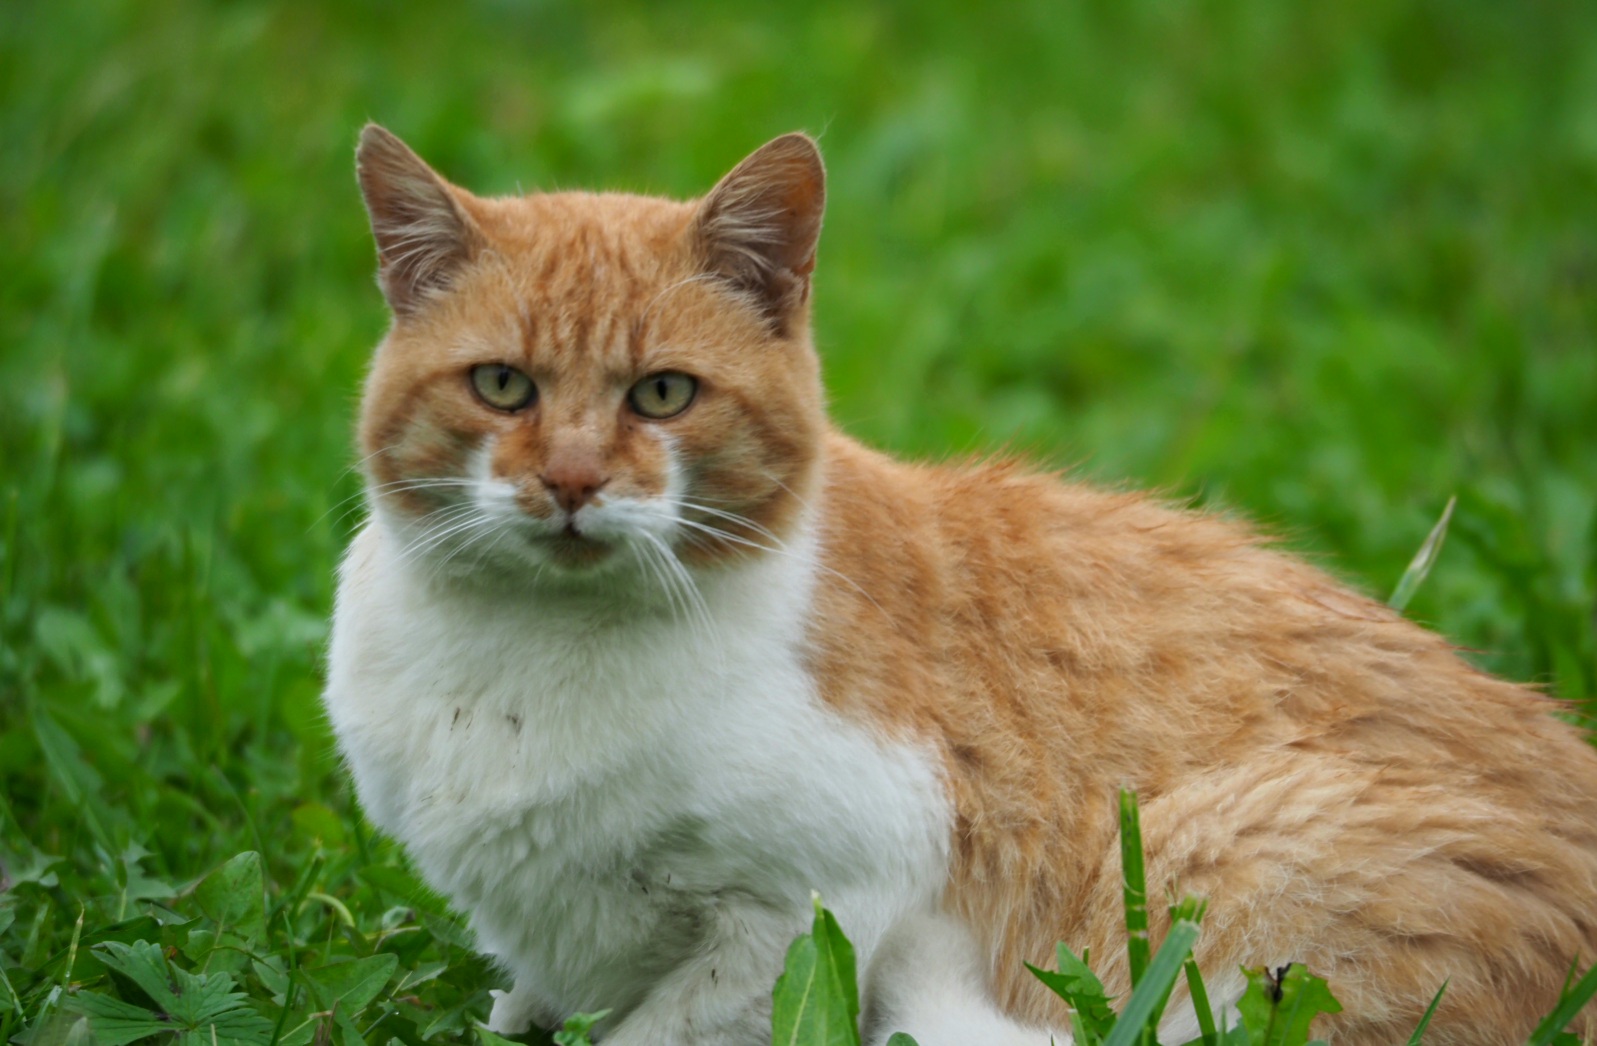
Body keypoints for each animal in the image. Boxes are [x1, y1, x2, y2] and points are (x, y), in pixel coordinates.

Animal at [320, 124, 1597, 1046]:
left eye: (663, 395)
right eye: (502, 385)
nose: (574, 479)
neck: (522, 662)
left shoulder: (824, 895)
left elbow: (660, 1024)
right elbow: (525, 1003)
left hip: (1219, 850)